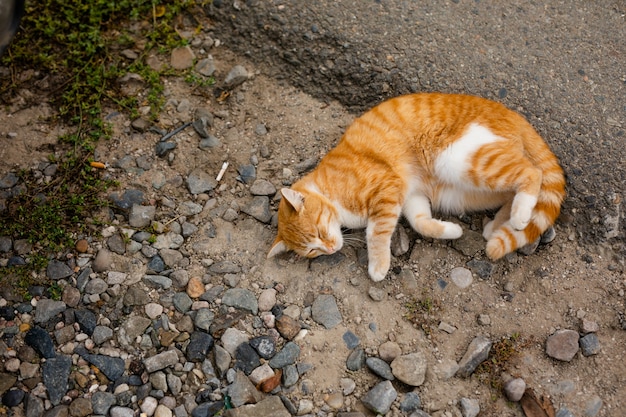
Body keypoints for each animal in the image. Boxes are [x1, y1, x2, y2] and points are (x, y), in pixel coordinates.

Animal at [266, 92, 564, 282]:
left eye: (318, 232)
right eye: (311, 251)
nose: (329, 249)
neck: (330, 192)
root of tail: (512, 114)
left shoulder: (386, 190)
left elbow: (375, 233)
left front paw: (378, 265)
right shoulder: (411, 195)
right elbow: (421, 222)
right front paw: (451, 231)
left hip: (459, 159)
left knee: (531, 172)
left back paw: (520, 215)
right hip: (466, 189)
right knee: (512, 190)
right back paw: (499, 225)